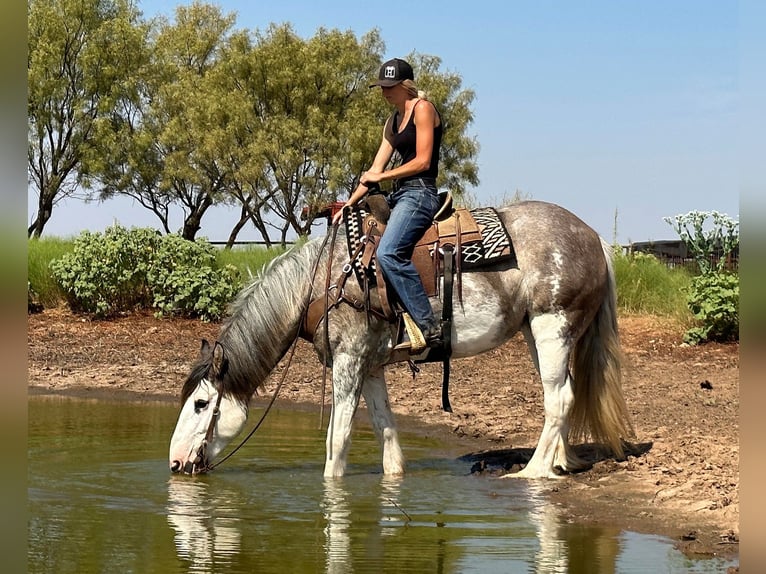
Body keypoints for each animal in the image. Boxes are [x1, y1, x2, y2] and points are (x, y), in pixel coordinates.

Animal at [168, 200, 636, 480]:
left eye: (201, 403)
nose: (174, 462)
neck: (325, 280)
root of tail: (594, 238)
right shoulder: (371, 366)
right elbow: (385, 431)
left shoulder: (348, 362)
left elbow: (337, 440)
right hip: (538, 335)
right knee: (567, 394)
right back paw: (560, 461)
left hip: (551, 327)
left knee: (558, 398)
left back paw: (534, 471)